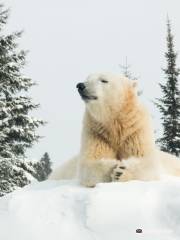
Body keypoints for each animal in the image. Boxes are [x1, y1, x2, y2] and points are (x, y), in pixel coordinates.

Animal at [49, 72, 180, 187]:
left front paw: (121, 171)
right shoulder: (97, 133)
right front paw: (114, 166)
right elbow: (89, 163)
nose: (81, 85)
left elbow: (147, 162)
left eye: (103, 80)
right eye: (87, 78)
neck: (115, 125)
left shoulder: (135, 131)